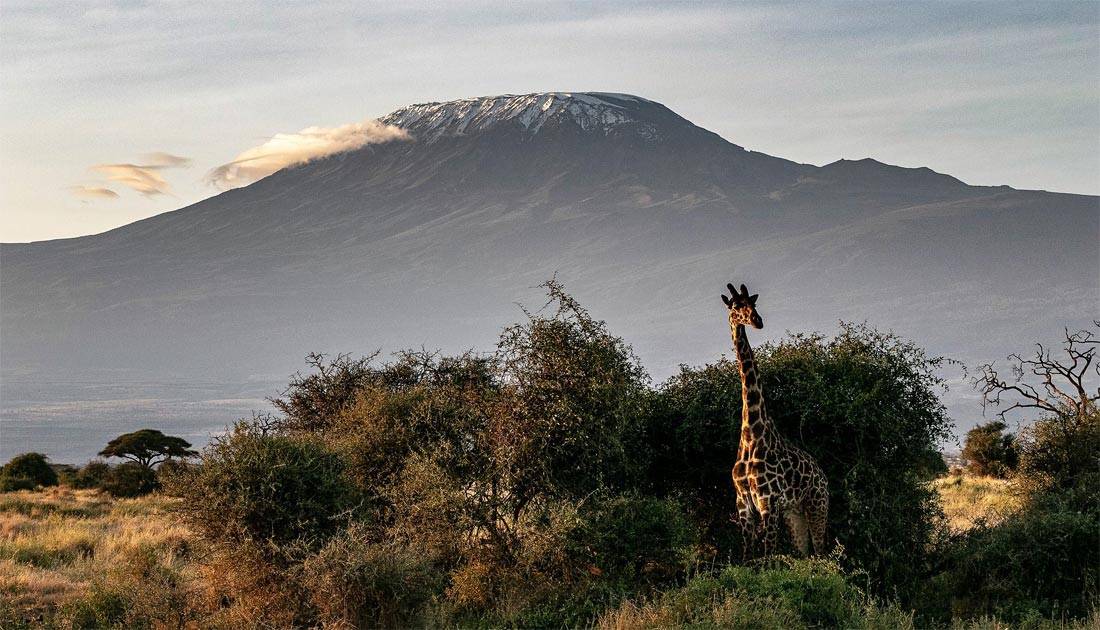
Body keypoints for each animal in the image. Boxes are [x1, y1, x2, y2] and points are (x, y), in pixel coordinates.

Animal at [721, 283, 827, 554]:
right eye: (736, 306)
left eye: (754, 304)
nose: (757, 321)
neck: (751, 432)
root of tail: (822, 474)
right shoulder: (743, 503)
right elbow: (748, 556)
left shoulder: (768, 500)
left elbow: (769, 554)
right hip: (794, 514)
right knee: (805, 555)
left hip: (817, 505)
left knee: (824, 554)